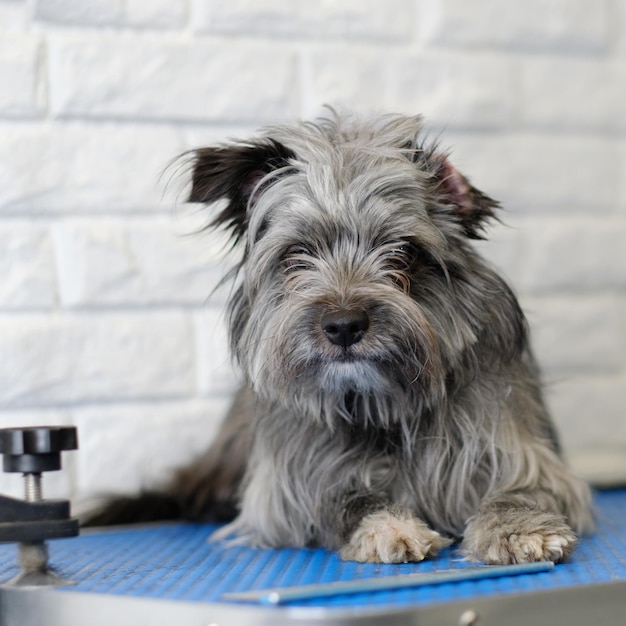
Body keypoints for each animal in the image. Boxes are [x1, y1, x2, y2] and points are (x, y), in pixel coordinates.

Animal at [90, 112, 592, 564]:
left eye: (403, 252)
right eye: (296, 254)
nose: (344, 325)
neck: (382, 409)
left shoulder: (520, 458)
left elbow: (520, 492)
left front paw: (518, 529)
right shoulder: (289, 494)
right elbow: (343, 499)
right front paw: (386, 525)